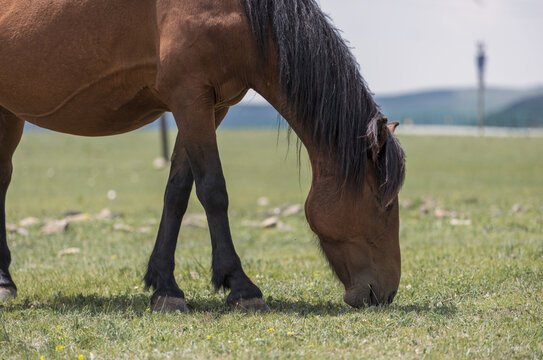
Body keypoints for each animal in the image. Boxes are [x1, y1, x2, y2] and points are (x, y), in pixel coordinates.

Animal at [0, 0, 406, 312]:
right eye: (385, 204)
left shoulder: (209, 106)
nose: (386, 293)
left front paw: (164, 287)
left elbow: (177, 193)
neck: (239, 13)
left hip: (8, 112)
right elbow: (213, 190)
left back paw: (5, 280)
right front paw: (241, 287)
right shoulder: (189, 97)